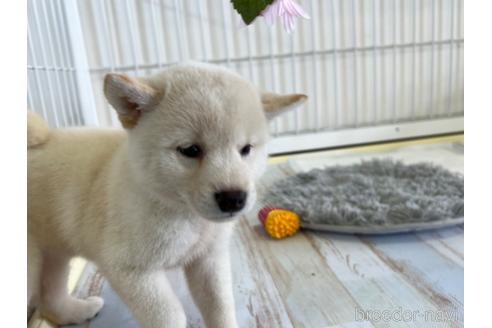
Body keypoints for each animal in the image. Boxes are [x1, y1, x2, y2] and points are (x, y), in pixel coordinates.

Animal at [26, 64, 306, 328]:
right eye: (190, 150)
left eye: (246, 149)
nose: (234, 198)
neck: (184, 216)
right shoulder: (131, 270)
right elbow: (169, 315)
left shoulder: (208, 260)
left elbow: (220, 307)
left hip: (53, 254)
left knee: (50, 300)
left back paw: (78, 311)